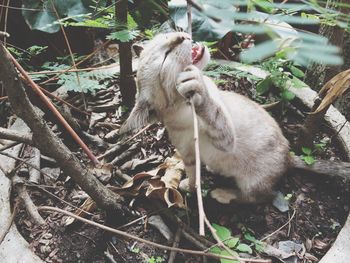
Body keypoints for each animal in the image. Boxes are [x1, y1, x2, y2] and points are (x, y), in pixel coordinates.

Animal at [120, 32, 290, 204]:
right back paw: (222, 191)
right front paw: (191, 188)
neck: (182, 107)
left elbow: (212, 109)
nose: (181, 36)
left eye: (167, 36)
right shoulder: (193, 153)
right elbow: (193, 174)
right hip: (252, 182)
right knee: (256, 197)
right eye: (166, 56)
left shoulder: (224, 137)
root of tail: (289, 155)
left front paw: (198, 87)